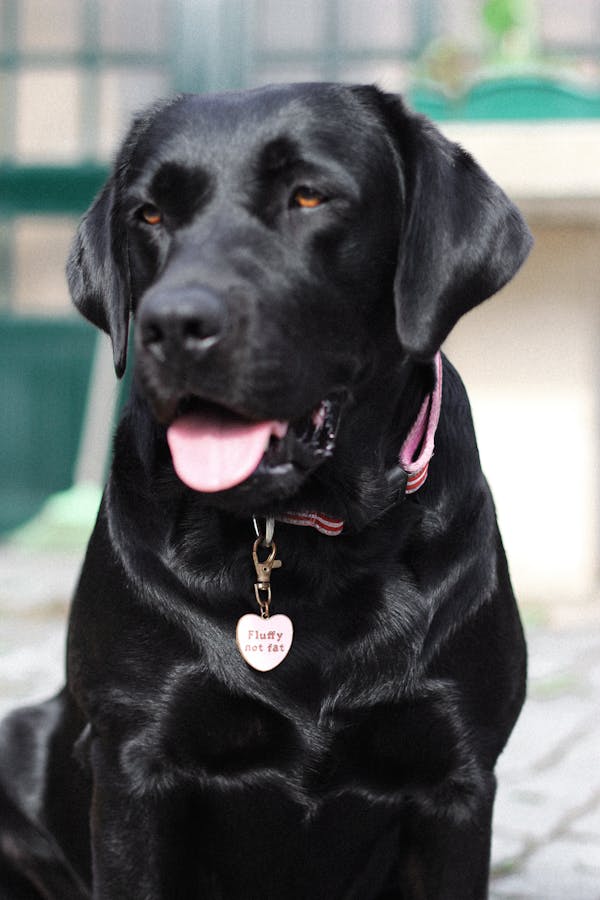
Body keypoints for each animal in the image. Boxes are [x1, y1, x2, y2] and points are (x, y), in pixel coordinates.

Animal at [2, 81, 532, 896]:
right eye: (149, 214)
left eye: (308, 195)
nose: (173, 324)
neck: (299, 537)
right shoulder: (133, 762)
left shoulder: (458, 775)